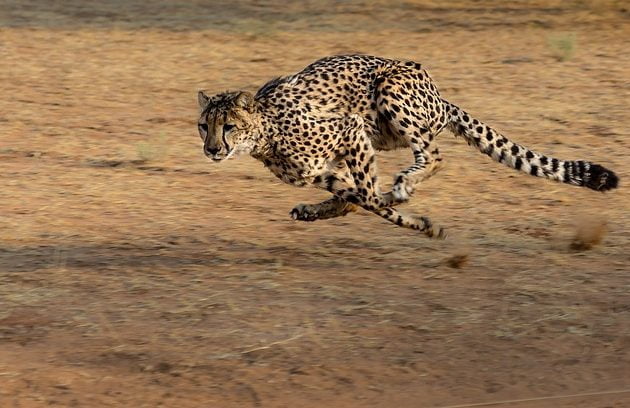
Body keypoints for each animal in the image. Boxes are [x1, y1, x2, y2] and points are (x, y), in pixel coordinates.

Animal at [199, 54, 624, 239]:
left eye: (229, 126)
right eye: (204, 126)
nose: (212, 150)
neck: (265, 132)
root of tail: (438, 93)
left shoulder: (350, 128)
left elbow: (370, 197)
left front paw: (416, 218)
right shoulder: (322, 171)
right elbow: (360, 198)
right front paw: (419, 222)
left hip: (390, 93)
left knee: (433, 156)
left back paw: (404, 184)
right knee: (362, 193)